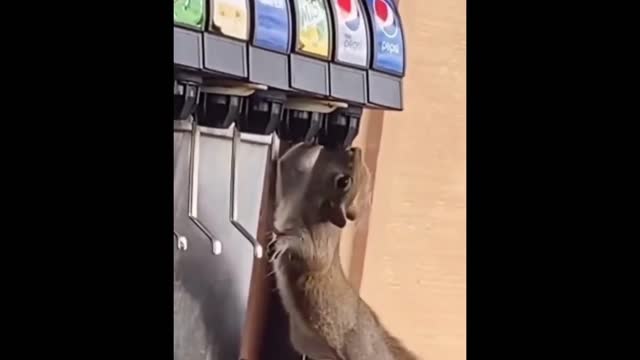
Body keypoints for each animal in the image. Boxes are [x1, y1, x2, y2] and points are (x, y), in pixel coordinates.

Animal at [270, 143, 420, 360]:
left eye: (344, 182)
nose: (354, 149)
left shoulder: (321, 239)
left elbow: (314, 257)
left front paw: (284, 242)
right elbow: (287, 165)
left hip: (358, 350)